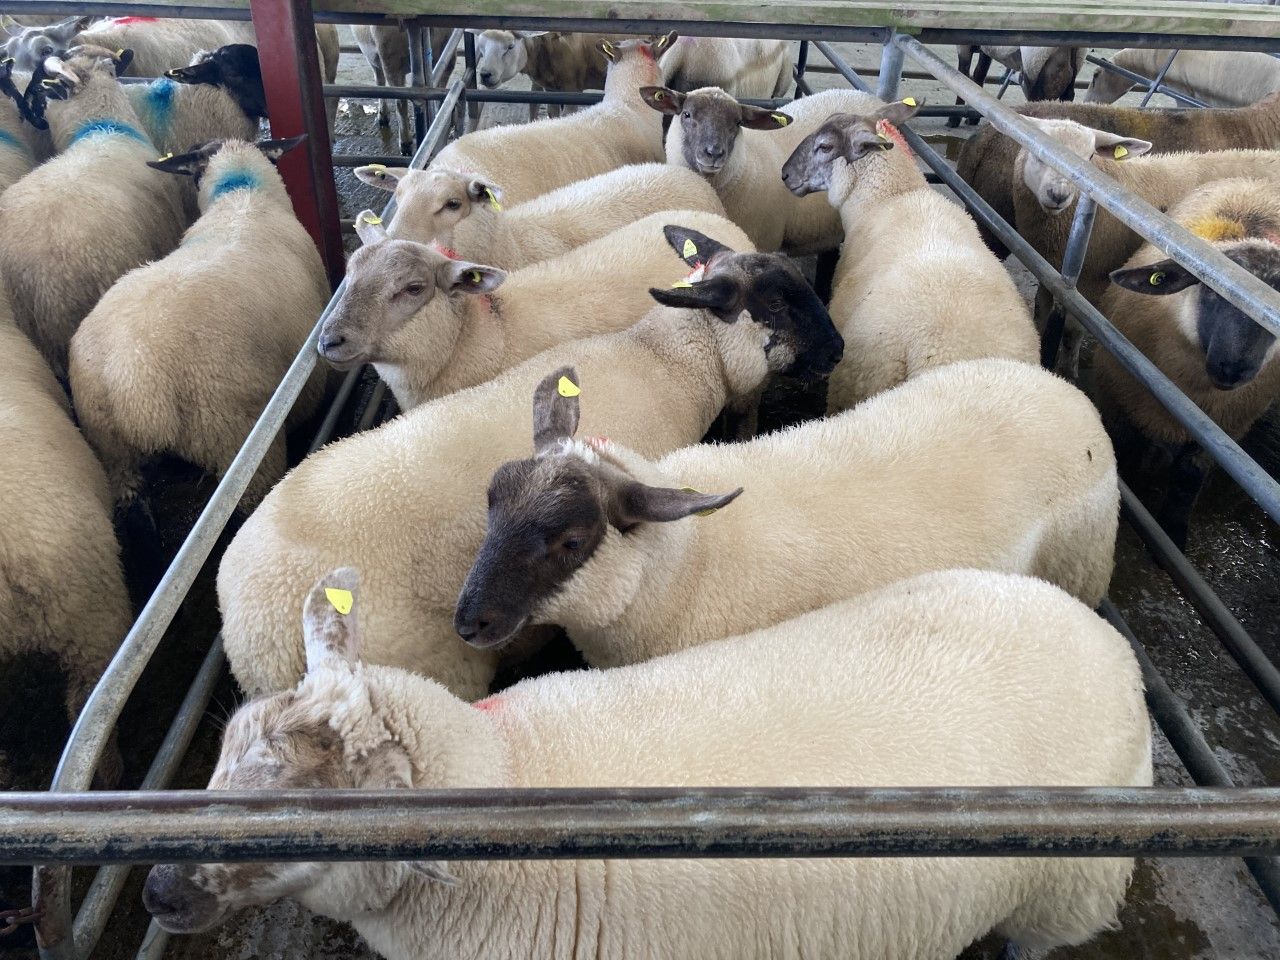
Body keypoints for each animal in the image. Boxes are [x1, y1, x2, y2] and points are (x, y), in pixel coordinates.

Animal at [147, 565, 1151, 960]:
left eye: (304, 811)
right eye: (226, 752)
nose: (155, 890)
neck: (511, 782)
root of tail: (1105, 638)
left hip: (1064, 893)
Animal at [456, 357, 1118, 664]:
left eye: (571, 541)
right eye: (490, 501)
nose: (467, 623)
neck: (690, 562)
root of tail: (1068, 391)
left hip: (1079, 566)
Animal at [473, 30, 626, 122]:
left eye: (510, 47)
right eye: (481, 47)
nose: (485, 74)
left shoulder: (572, 89)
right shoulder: (551, 90)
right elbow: (553, 115)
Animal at [1094, 178, 1280, 547]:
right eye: (1210, 290)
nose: (1232, 370)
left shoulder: (1222, 430)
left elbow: (1188, 478)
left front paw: (1173, 532)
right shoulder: (1120, 394)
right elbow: (1124, 448)